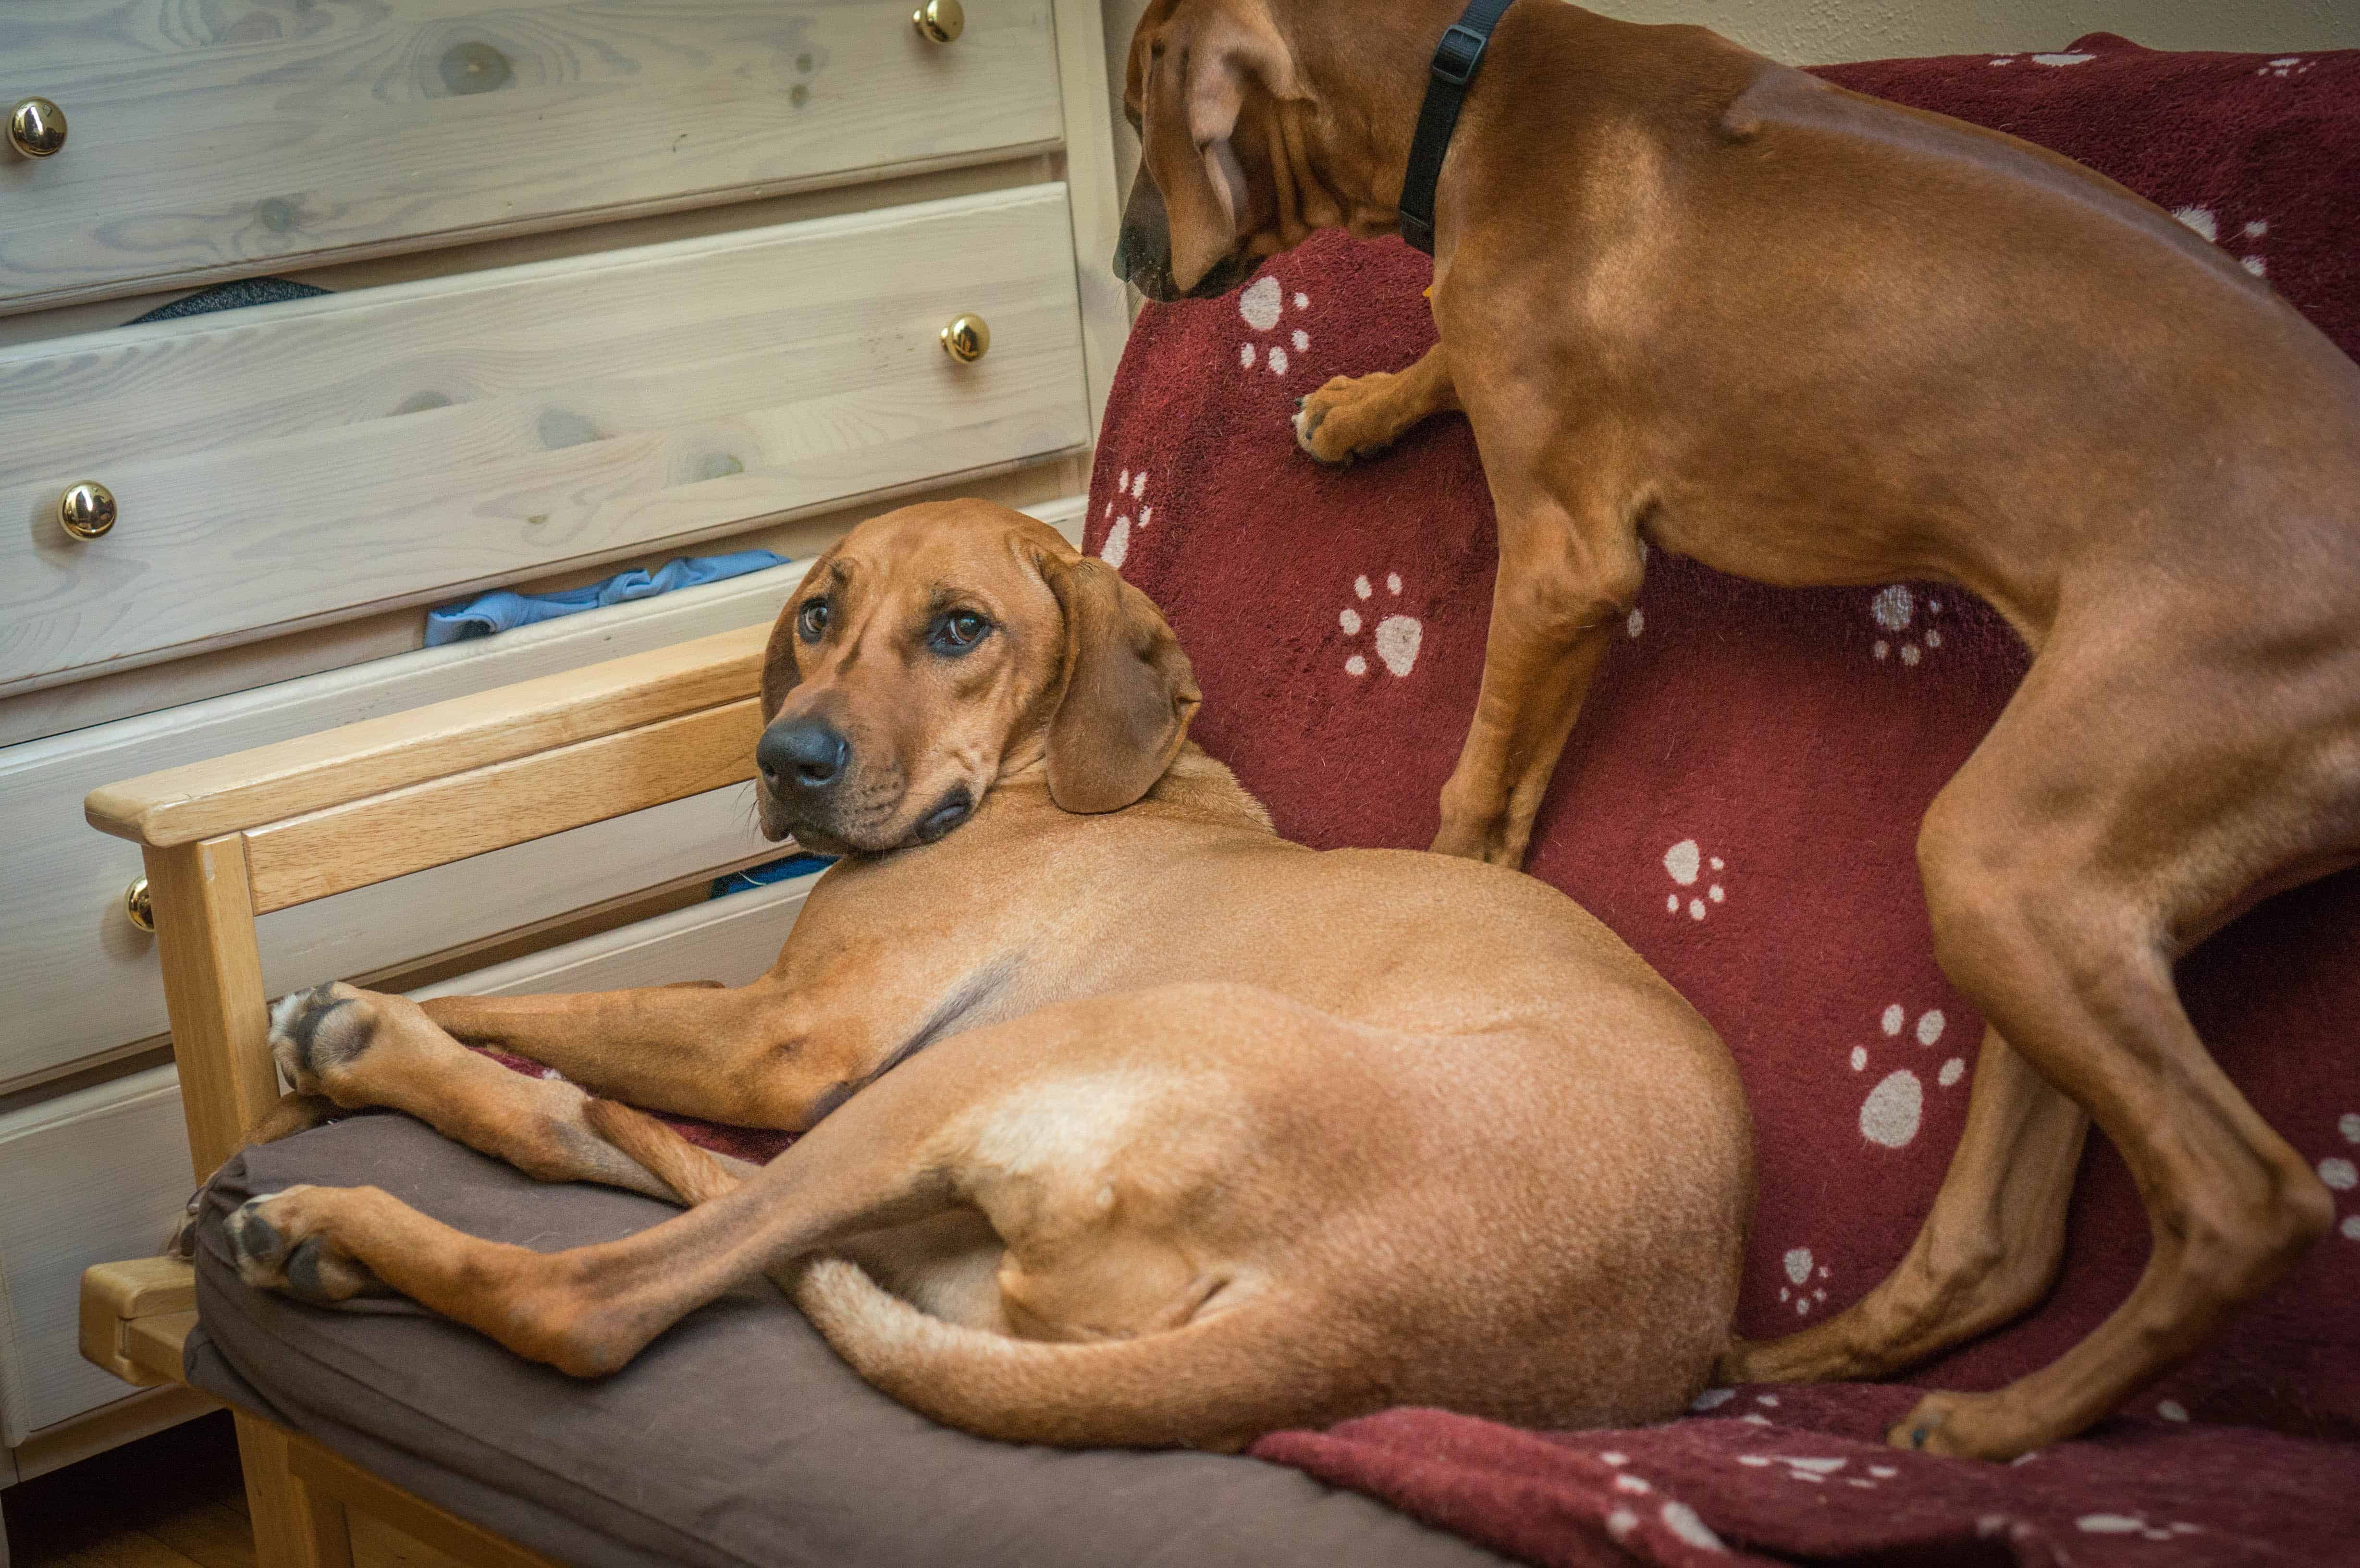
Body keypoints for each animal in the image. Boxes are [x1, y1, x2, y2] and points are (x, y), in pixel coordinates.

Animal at [1114, 0, 2360, 1464]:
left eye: (1137, 115)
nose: (1129, 263)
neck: (1482, 77)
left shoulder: (1566, 567)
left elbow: (1479, 781)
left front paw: (1449, 888)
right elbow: (1443, 352)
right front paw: (1365, 400)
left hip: (2015, 849)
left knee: (2244, 1205)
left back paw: (1993, 1428)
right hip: (2075, 901)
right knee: (2003, 1245)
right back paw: (1797, 1366)